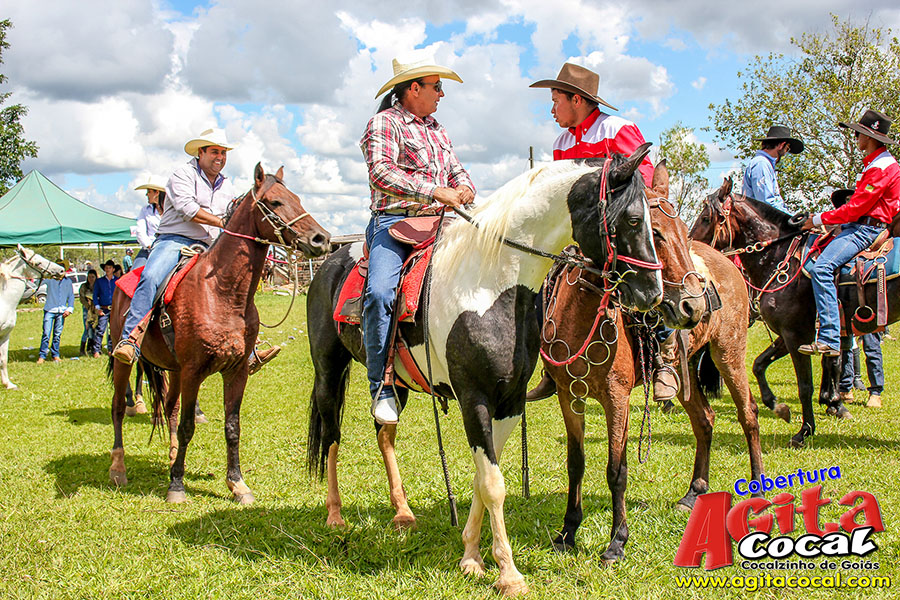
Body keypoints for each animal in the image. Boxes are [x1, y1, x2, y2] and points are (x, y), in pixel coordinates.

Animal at [1, 245, 67, 390]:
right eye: (38, 262)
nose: (61, 270)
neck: (4, 301)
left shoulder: (5, 334)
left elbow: (3, 359)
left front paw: (8, 384)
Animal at [107, 164, 330, 504]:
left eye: (297, 198)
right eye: (275, 202)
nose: (321, 239)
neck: (220, 293)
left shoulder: (236, 371)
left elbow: (232, 426)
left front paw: (237, 484)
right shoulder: (193, 371)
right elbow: (188, 425)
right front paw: (177, 486)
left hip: (173, 369)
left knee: (169, 408)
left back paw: (172, 457)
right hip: (128, 362)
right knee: (119, 407)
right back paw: (118, 468)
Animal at [306, 146, 664, 596]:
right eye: (633, 219)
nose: (653, 294)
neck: (489, 287)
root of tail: (331, 260)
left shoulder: (509, 400)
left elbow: (483, 478)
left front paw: (472, 557)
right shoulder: (473, 398)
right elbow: (494, 484)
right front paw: (508, 574)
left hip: (394, 383)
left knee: (383, 432)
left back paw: (403, 513)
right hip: (328, 370)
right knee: (332, 435)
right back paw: (335, 515)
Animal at [539, 165, 762, 561]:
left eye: (685, 232)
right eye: (651, 232)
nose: (694, 305)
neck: (579, 318)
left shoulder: (617, 399)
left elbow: (617, 469)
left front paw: (617, 540)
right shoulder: (569, 397)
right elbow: (575, 463)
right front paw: (568, 530)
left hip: (729, 353)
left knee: (748, 413)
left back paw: (757, 489)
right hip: (685, 372)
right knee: (705, 419)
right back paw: (694, 492)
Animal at [688, 179, 893, 447]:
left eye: (705, 217)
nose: (687, 243)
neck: (779, 257)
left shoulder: (797, 335)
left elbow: (805, 380)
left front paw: (806, 425)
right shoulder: (791, 334)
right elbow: (764, 366)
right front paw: (794, 411)